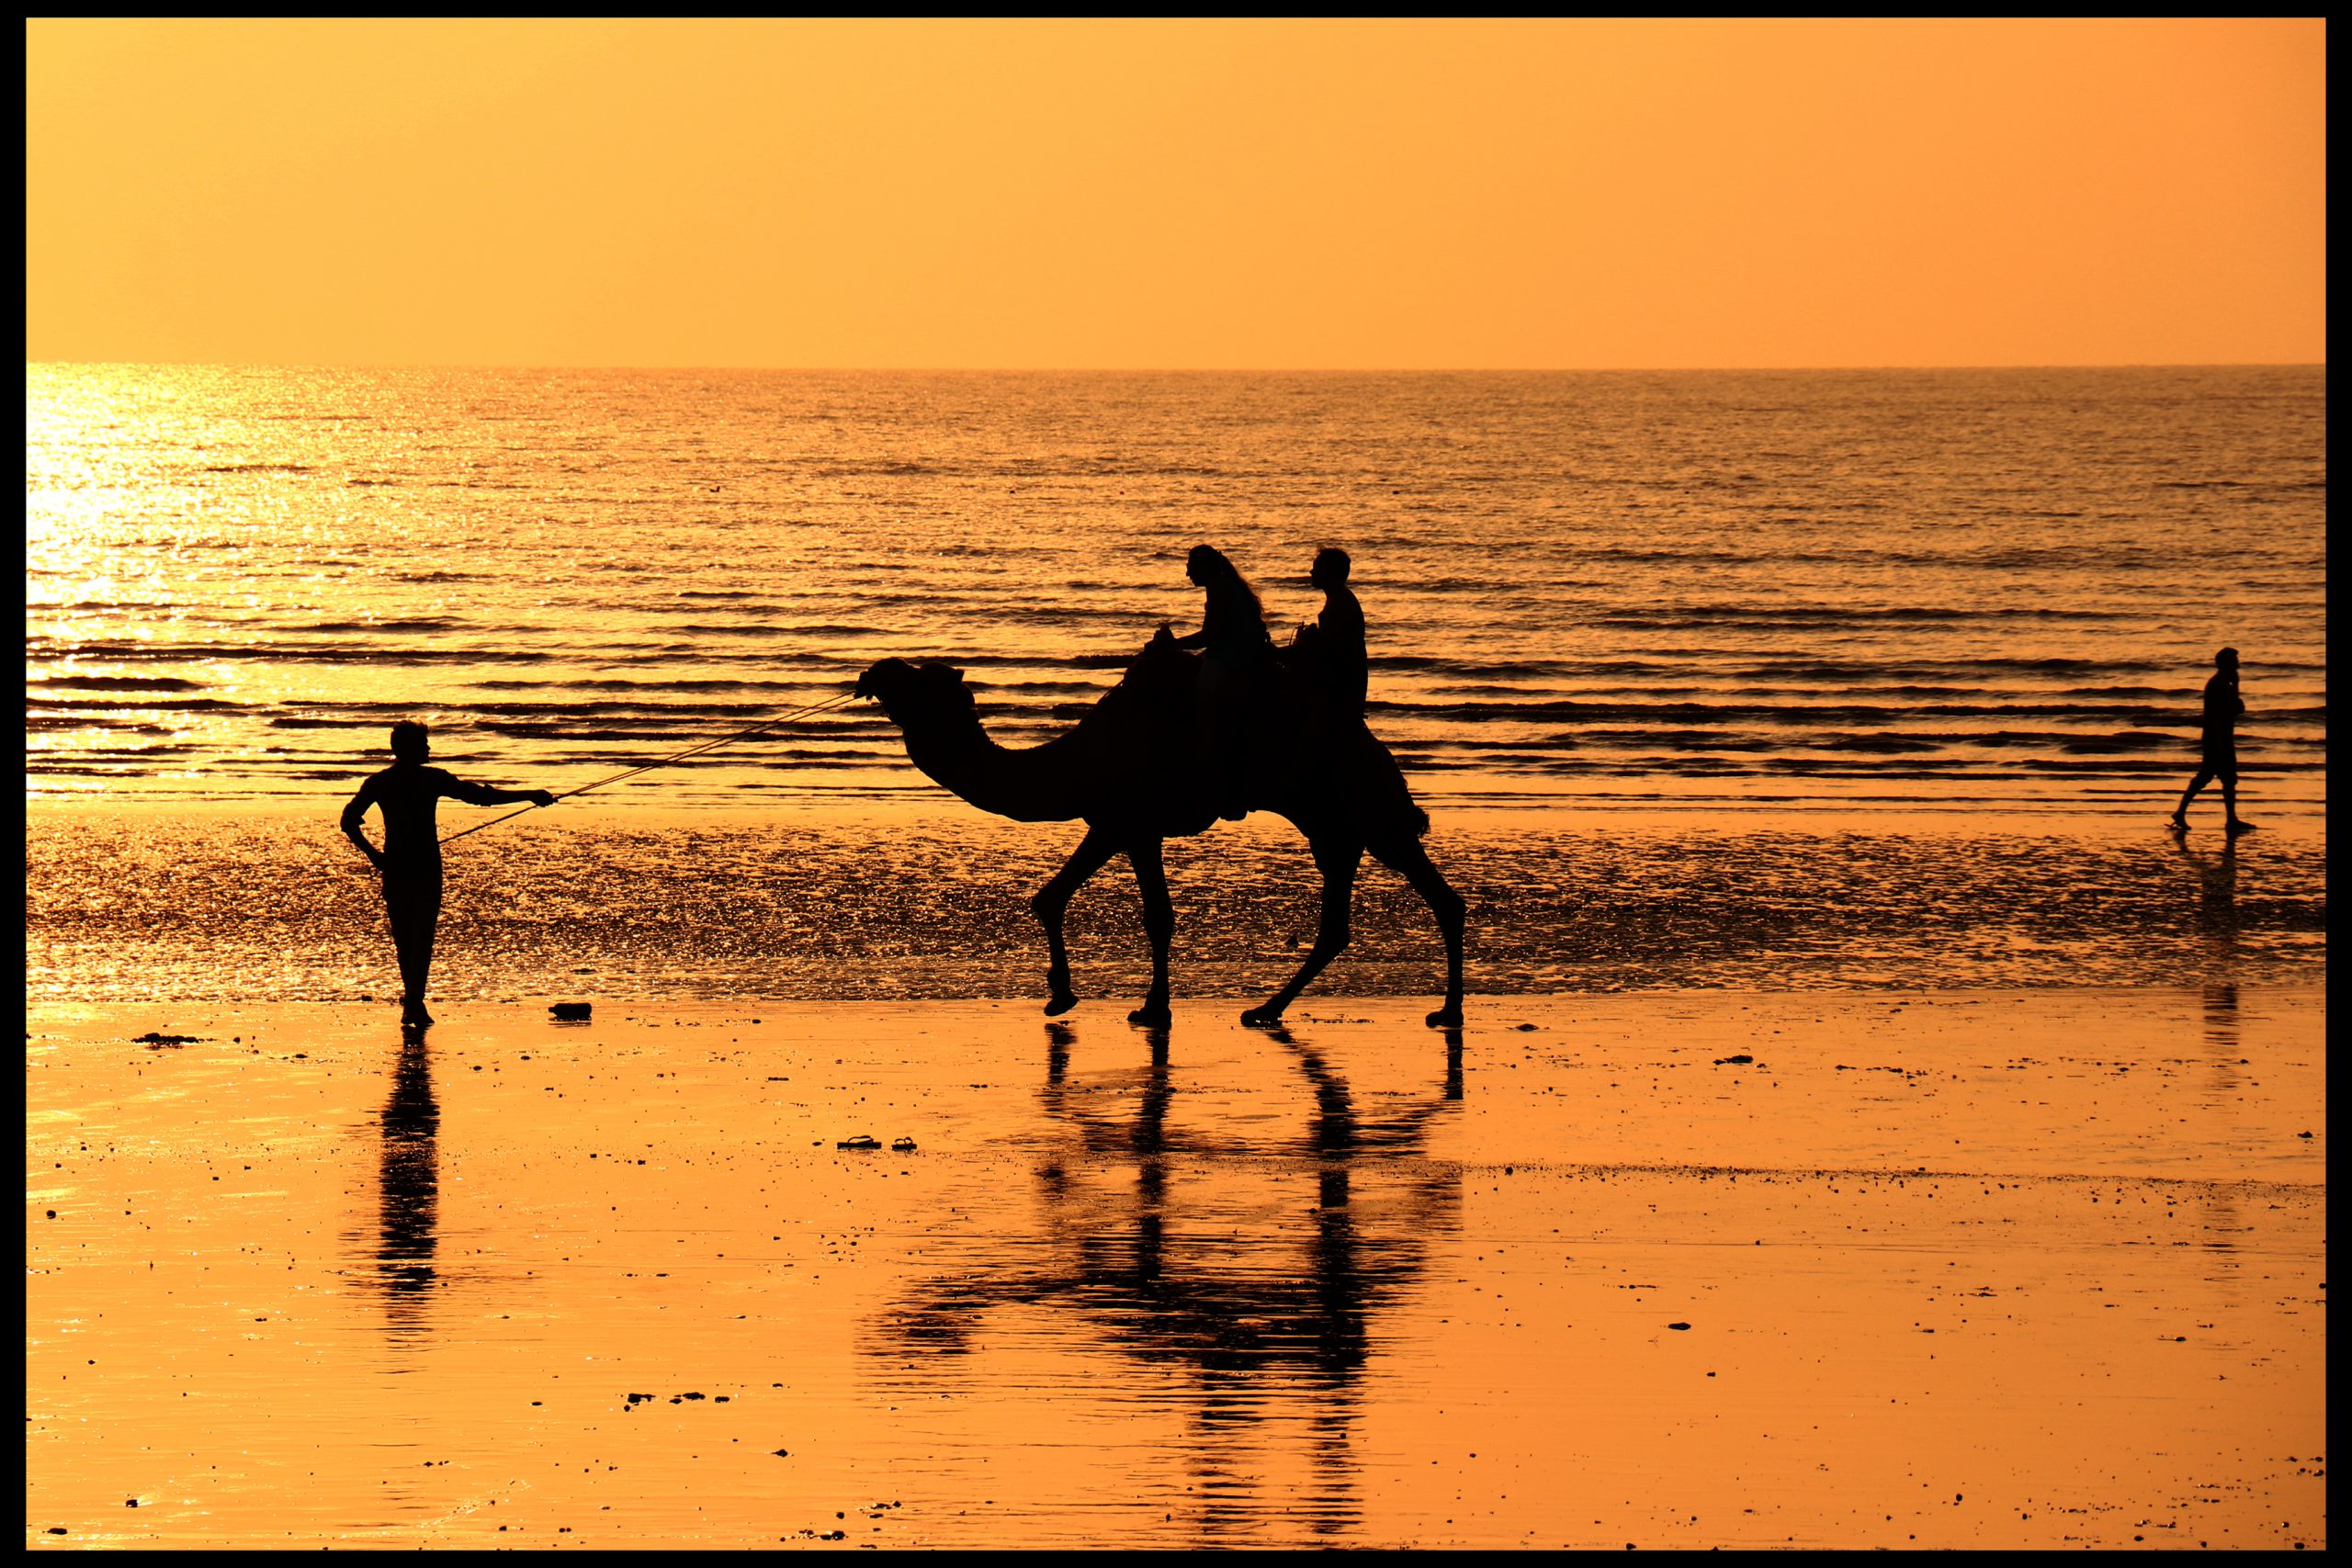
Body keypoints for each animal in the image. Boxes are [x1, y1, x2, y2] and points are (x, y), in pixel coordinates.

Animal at [855, 629, 1458, 1034]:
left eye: (915, 678)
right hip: (1337, 827)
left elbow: (1157, 918)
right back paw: (1270, 1009)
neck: (1075, 762)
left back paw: (1441, 1011)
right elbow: (1051, 897)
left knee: (1427, 899)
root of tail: (1370, 743)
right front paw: (1062, 996)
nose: (872, 671)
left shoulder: (1136, 824)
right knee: (1353, 920)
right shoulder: (1113, 822)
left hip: (1360, 813)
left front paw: (1150, 1008)